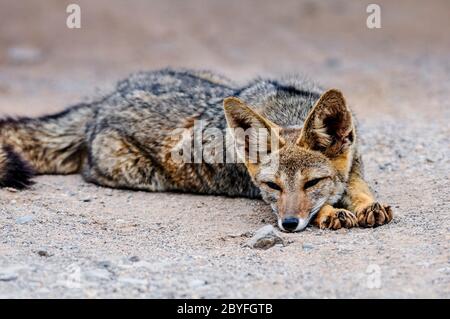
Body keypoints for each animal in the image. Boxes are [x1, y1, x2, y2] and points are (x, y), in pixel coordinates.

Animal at [0, 68, 392, 232]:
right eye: (272, 187)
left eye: (311, 183)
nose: (288, 225)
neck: (287, 108)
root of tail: (103, 100)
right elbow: (327, 202)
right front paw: (330, 212)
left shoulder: (355, 164)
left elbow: (358, 187)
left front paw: (366, 205)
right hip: (141, 175)